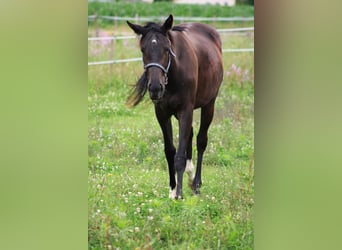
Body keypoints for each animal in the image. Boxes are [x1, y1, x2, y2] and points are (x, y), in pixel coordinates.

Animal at [127, 15, 223, 199]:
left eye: (167, 49)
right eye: (143, 50)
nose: (155, 88)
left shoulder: (185, 110)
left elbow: (179, 155)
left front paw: (179, 194)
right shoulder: (162, 113)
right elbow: (170, 151)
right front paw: (172, 189)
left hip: (209, 104)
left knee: (201, 140)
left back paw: (196, 183)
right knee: (190, 135)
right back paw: (190, 175)